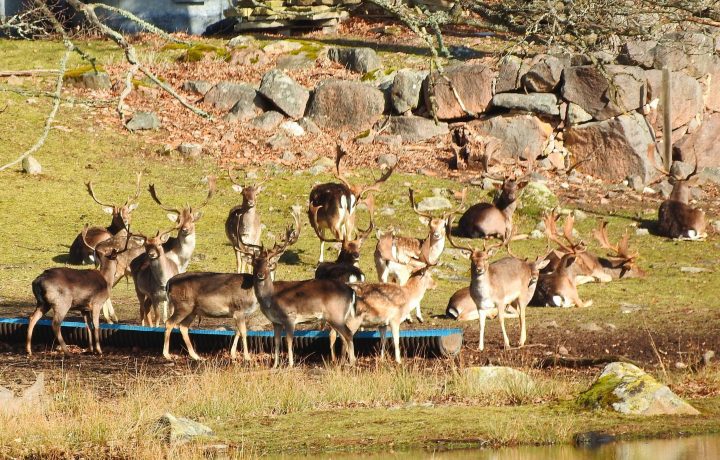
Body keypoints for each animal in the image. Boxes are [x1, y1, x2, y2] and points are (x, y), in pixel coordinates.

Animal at [26, 226, 131, 356]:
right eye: (116, 258)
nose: (120, 267)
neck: (107, 281)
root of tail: (38, 281)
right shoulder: (97, 303)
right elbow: (96, 325)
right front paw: (99, 350)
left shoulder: (84, 309)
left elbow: (88, 326)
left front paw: (91, 349)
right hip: (62, 302)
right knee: (55, 324)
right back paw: (67, 352)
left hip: (42, 303)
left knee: (32, 318)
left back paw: (29, 350)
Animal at [239, 211, 358, 366]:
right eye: (254, 264)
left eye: (268, 264)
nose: (260, 274)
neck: (270, 299)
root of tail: (351, 291)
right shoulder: (275, 321)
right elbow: (276, 342)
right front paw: (275, 365)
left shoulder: (290, 316)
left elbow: (289, 342)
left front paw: (290, 364)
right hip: (339, 316)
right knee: (344, 335)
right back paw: (344, 362)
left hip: (335, 314)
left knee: (348, 334)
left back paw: (352, 363)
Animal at [372, 189, 466, 322]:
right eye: (430, 226)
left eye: (443, 225)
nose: (436, 234)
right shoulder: (419, 270)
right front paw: (419, 317)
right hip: (402, 272)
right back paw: (408, 318)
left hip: (380, 270)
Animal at [448, 221, 548, 350]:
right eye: (472, 259)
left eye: (486, 258)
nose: (479, 269)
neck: (485, 294)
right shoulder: (479, 305)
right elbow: (481, 324)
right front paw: (480, 347)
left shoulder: (501, 300)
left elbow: (501, 320)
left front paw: (507, 344)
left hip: (521, 293)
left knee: (522, 314)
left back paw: (521, 342)